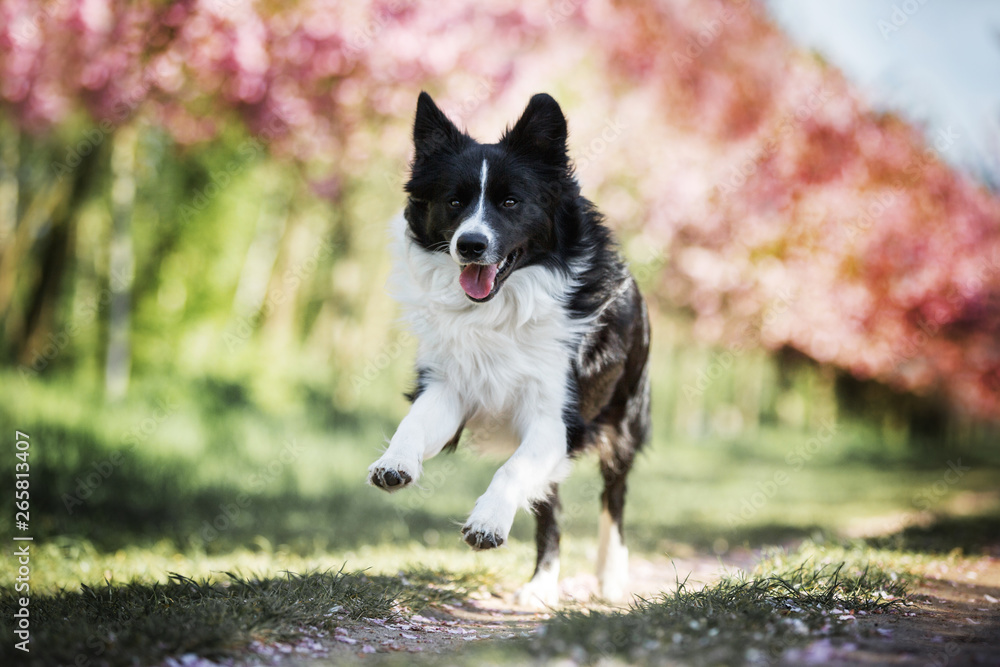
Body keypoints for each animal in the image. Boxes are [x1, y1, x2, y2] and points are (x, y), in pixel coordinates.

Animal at [368, 91, 648, 608]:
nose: (471, 245)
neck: (500, 307)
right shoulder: (449, 384)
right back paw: (542, 585)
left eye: (511, 202)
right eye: (454, 201)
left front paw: (487, 522)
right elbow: (413, 423)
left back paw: (611, 577)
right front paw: (394, 462)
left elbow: (512, 473)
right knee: (550, 506)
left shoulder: (556, 416)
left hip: (625, 420)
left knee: (613, 498)